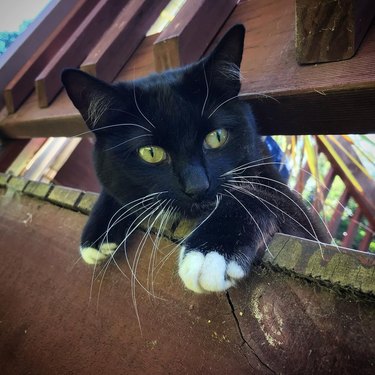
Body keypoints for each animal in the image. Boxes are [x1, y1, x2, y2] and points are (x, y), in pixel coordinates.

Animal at [61, 25, 328, 296]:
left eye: (216, 137)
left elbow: (257, 196)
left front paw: (210, 250)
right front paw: (98, 234)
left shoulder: (309, 227)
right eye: (151, 153)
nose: (197, 186)